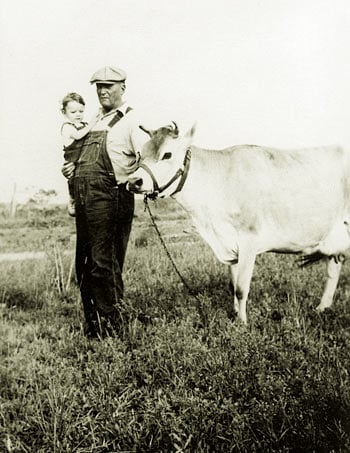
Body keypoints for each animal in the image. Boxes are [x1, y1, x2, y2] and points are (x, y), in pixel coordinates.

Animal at [127, 122, 350, 324]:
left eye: (167, 154)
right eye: (140, 154)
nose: (134, 182)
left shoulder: (249, 240)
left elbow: (242, 288)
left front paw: (242, 323)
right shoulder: (230, 244)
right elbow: (233, 285)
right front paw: (234, 314)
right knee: (333, 270)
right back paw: (322, 308)